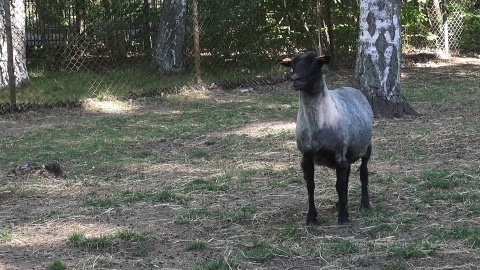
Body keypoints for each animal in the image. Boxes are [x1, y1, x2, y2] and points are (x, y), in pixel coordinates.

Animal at [280, 51, 374, 225]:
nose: (295, 79)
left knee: (363, 173)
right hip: (347, 155)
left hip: (366, 147)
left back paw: (364, 203)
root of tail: (353, 89)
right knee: (347, 175)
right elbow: (311, 186)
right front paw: (311, 218)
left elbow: (339, 185)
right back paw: (341, 203)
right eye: (292, 64)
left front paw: (343, 217)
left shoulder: (339, 153)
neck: (317, 125)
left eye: (315, 63)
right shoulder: (306, 157)